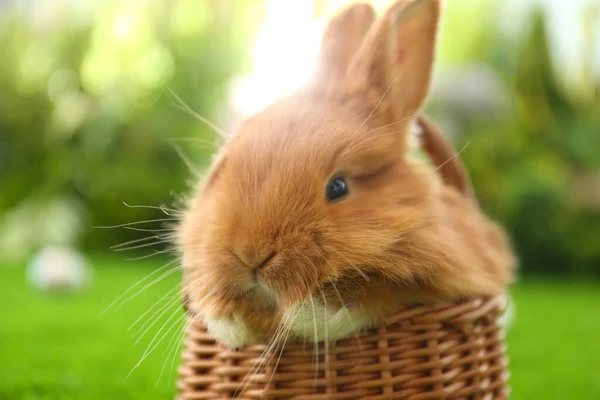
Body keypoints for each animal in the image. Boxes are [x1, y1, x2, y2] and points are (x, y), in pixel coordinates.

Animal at [177, 0, 516, 350]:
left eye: (338, 187)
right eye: (223, 167)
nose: (250, 256)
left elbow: (372, 289)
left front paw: (302, 315)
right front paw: (230, 322)